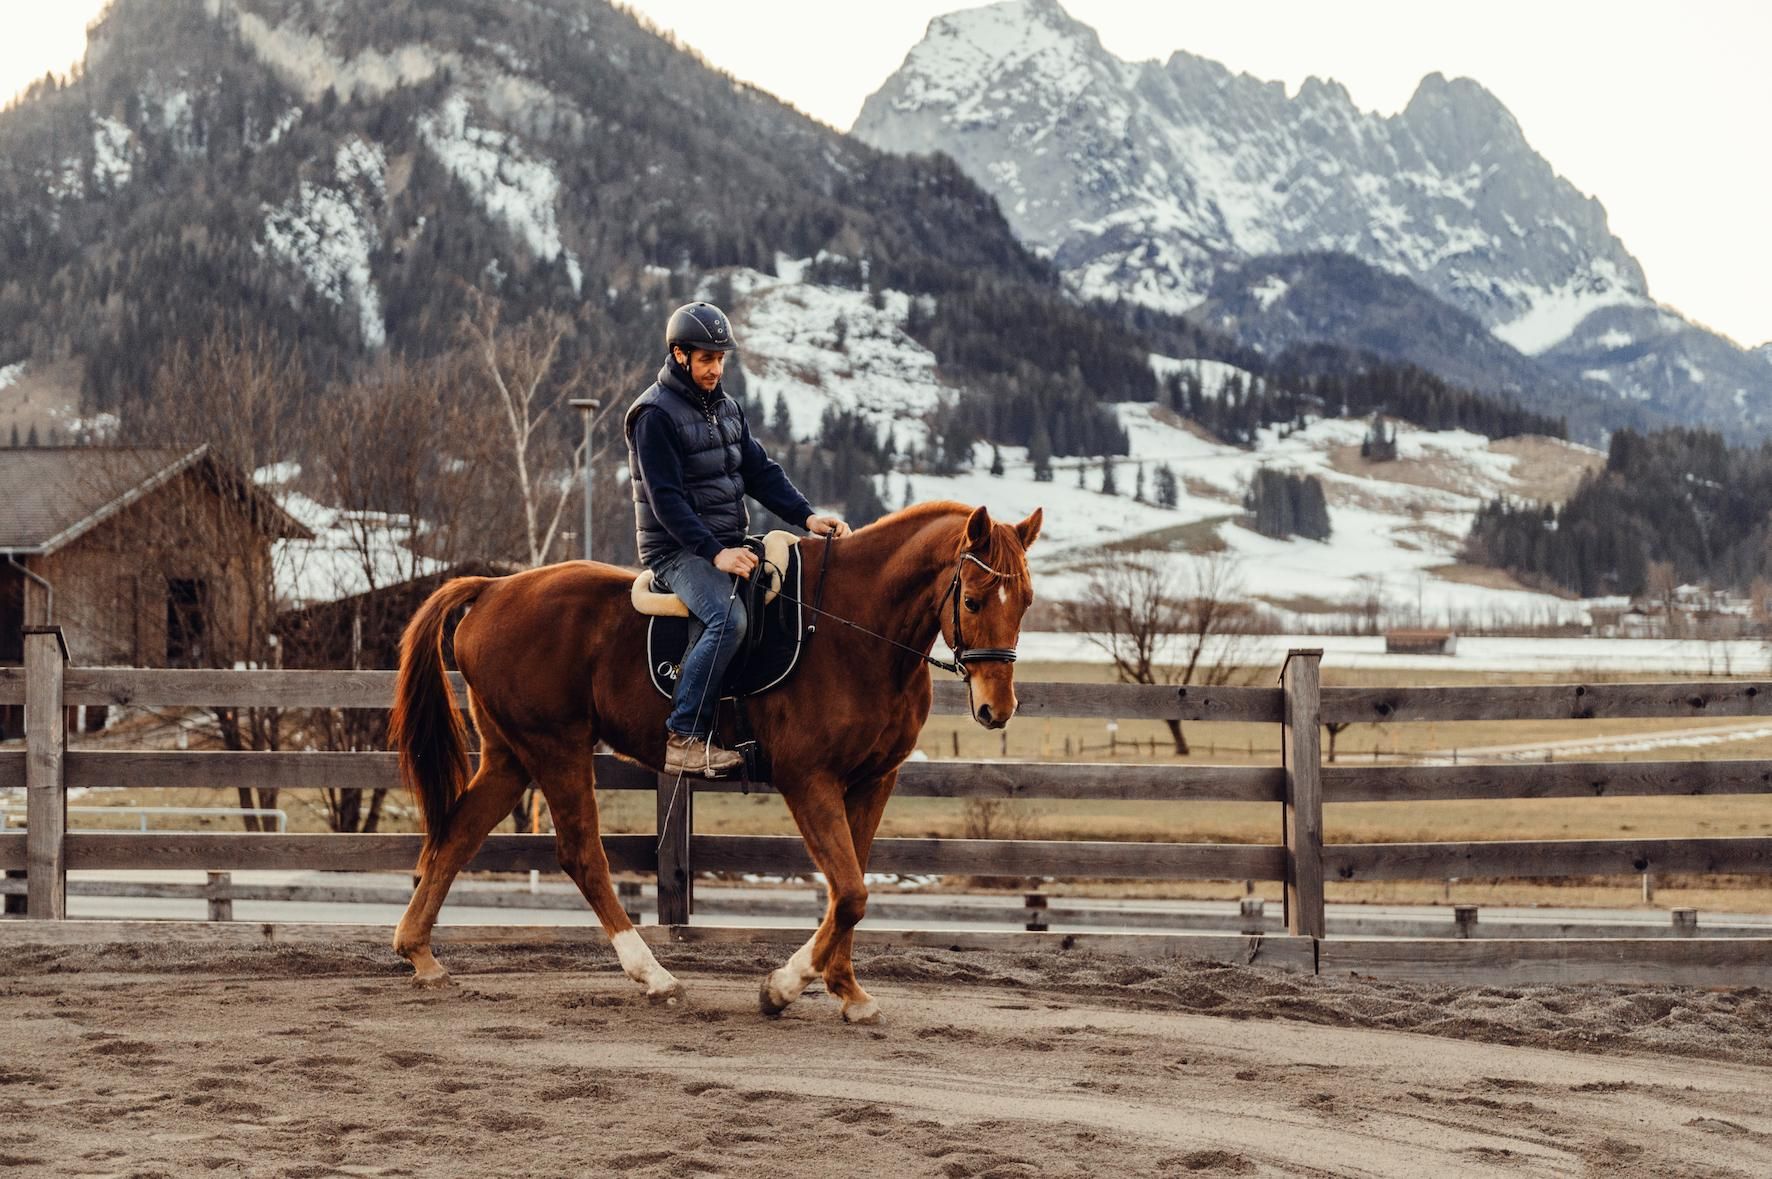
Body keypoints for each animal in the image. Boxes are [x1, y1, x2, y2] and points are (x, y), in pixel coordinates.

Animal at [388, 500, 1042, 1022]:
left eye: (1027, 602)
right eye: (974, 600)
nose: (997, 708)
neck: (856, 631)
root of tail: (494, 589)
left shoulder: (873, 781)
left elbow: (847, 891)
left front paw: (846, 990)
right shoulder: (809, 781)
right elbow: (851, 891)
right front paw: (783, 988)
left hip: (511, 754)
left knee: (457, 836)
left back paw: (421, 956)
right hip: (556, 747)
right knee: (581, 856)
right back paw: (655, 977)